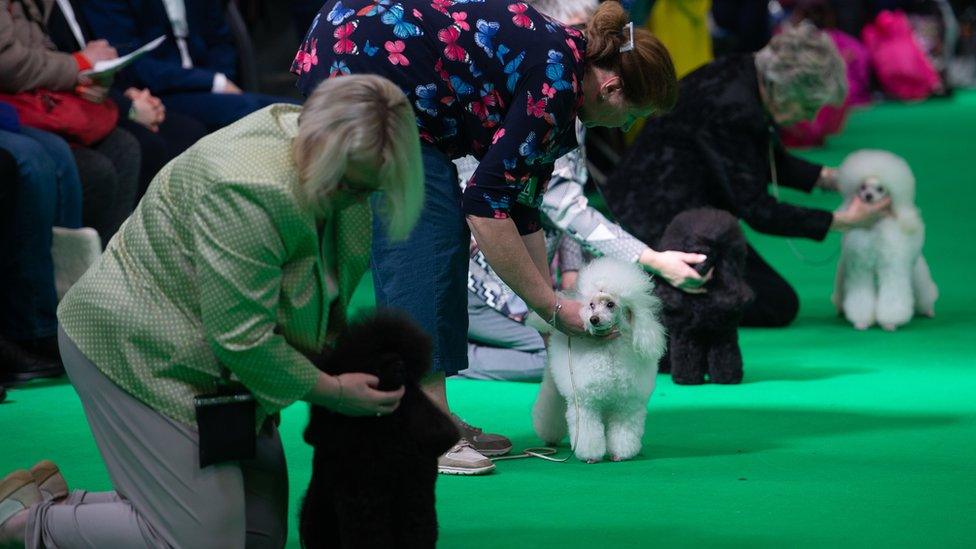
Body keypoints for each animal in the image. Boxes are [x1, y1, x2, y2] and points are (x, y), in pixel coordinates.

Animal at [532, 258, 664, 462]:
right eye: (591, 305)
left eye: (610, 304)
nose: (593, 319)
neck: (609, 352)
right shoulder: (586, 403)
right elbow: (589, 432)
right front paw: (591, 455)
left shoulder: (627, 403)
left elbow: (623, 431)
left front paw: (620, 453)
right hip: (554, 387)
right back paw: (549, 437)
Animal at [832, 149, 936, 330]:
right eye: (863, 186)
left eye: (880, 188)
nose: (868, 196)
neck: (874, 231)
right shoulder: (860, 269)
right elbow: (860, 296)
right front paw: (862, 320)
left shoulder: (892, 269)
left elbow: (893, 294)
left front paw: (890, 321)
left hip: (916, 270)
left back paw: (928, 309)